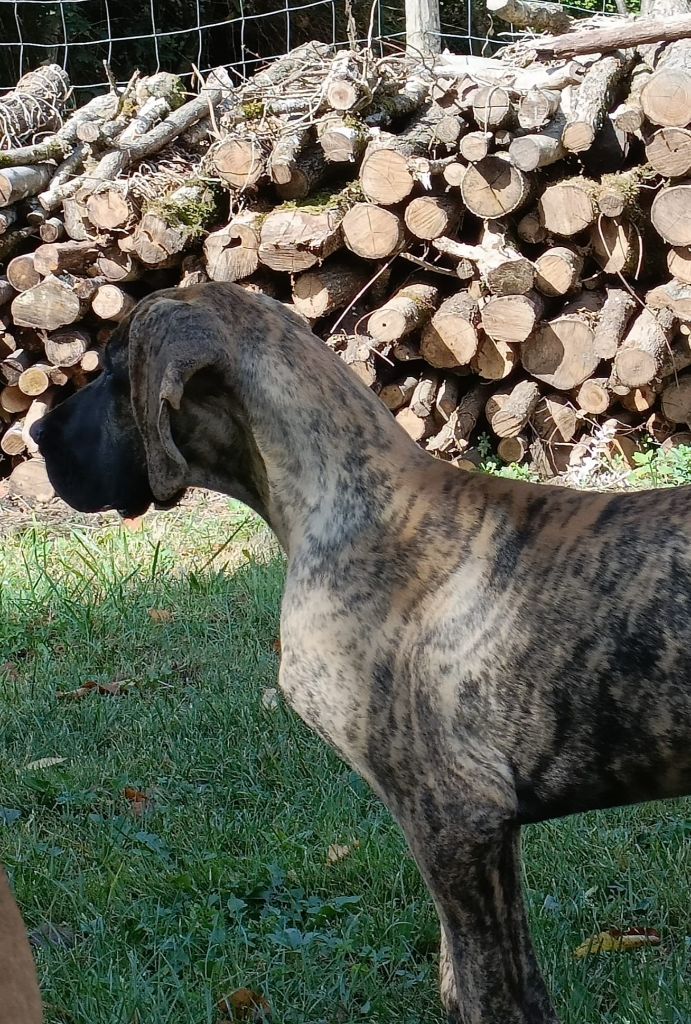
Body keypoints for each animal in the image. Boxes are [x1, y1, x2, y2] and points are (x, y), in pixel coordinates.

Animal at [29, 281, 691, 1024]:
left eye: (117, 372)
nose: (34, 436)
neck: (354, 509)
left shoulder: (459, 821)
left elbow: (496, 989)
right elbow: (461, 979)